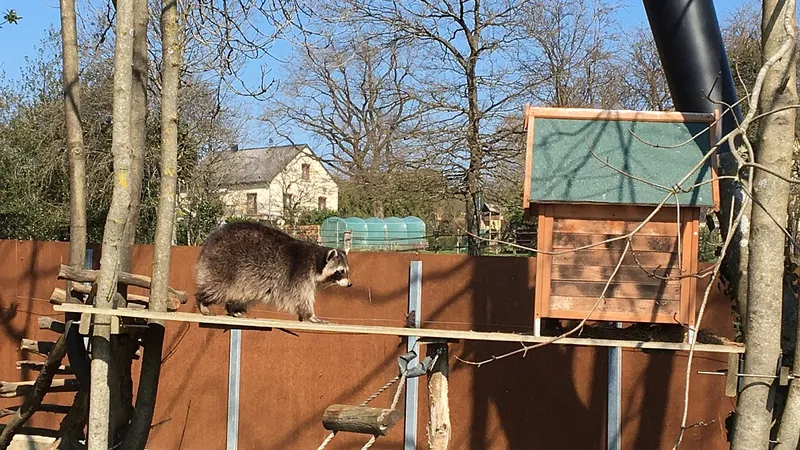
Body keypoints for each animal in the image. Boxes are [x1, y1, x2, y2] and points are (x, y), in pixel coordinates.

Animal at [192, 220, 352, 322]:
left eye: (346, 271)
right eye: (340, 271)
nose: (350, 284)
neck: (316, 260)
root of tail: (209, 243)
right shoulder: (300, 274)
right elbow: (301, 297)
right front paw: (310, 315)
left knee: (242, 294)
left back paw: (234, 308)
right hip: (223, 265)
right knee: (217, 288)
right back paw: (203, 301)